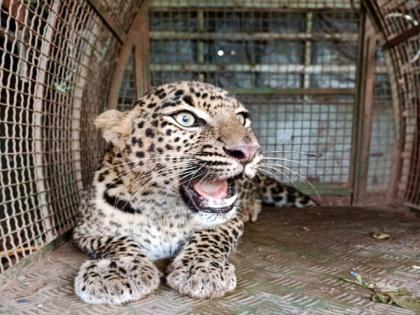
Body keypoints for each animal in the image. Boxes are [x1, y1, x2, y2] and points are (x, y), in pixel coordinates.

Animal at [73, 80, 316, 304]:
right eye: (186, 119)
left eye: (242, 118)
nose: (249, 152)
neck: (163, 209)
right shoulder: (86, 230)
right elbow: (118, 240)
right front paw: (117, 270)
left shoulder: (229, 221)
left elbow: (210, 236)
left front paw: (202, 269)